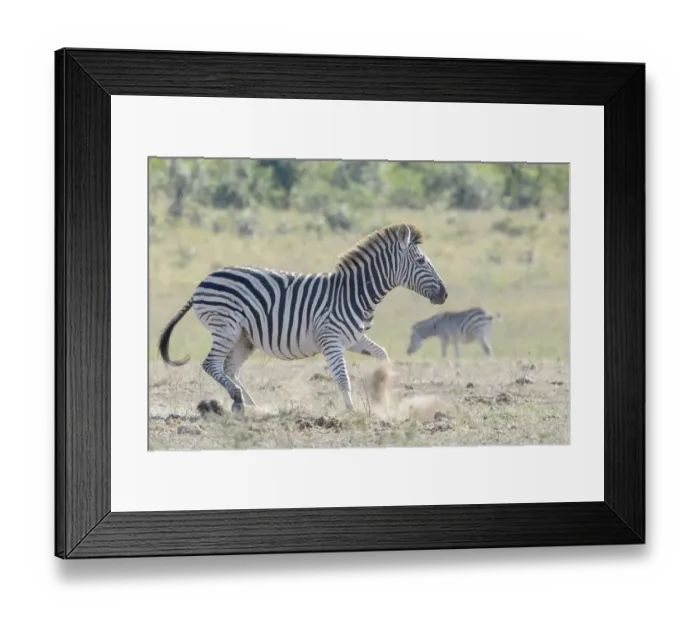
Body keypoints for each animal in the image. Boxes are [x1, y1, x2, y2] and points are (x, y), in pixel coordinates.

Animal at [158, 223, 447, 413]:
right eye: (421, 261)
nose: (445, 294)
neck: (353, 292)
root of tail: (202, 282)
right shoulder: (330, 338)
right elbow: (342, 376)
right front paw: (351, 410)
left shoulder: (354, 338)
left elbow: (383, 355)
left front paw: (382, 394)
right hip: (226, 327)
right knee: (211, 364)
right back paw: (238, 398)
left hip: (243, 337)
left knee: (229, 368)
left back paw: (251, 405)